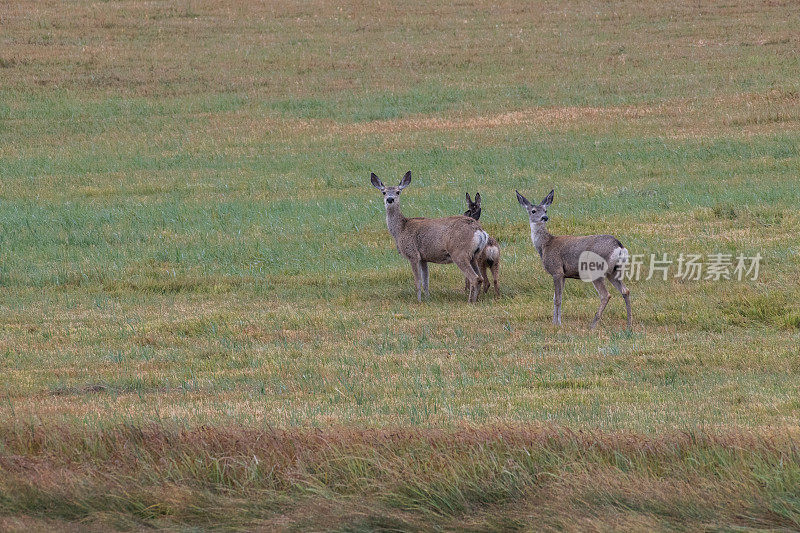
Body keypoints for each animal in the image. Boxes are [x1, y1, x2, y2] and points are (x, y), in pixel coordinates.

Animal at [368, 171, 488, 302]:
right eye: (383, 192)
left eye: (398, 191)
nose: (390, 199)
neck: (401, 229)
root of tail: (479, 231)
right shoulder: (423, 258)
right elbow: (426, 282)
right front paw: (427, 299)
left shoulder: (413, 254)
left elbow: (418, 281)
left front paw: (419, 301)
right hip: (474, 256)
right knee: (480, 278)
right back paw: (476, 299)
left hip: (459, 252)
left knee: (474, 278)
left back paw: (470, 302)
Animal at [516, 187, 636, 328]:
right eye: (534, 211)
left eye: (545, 210)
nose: (544, 217)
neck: (545, 245)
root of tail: (619, 246)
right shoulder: (563, 275)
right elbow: (557, 297)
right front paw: (556, 322)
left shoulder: (556, 270)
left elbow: (557, 299)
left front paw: (557, 324)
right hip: (615, 271)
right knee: (625, 291)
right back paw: (629, 324)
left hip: (596, 269)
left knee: (605, 295)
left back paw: (593, 325)